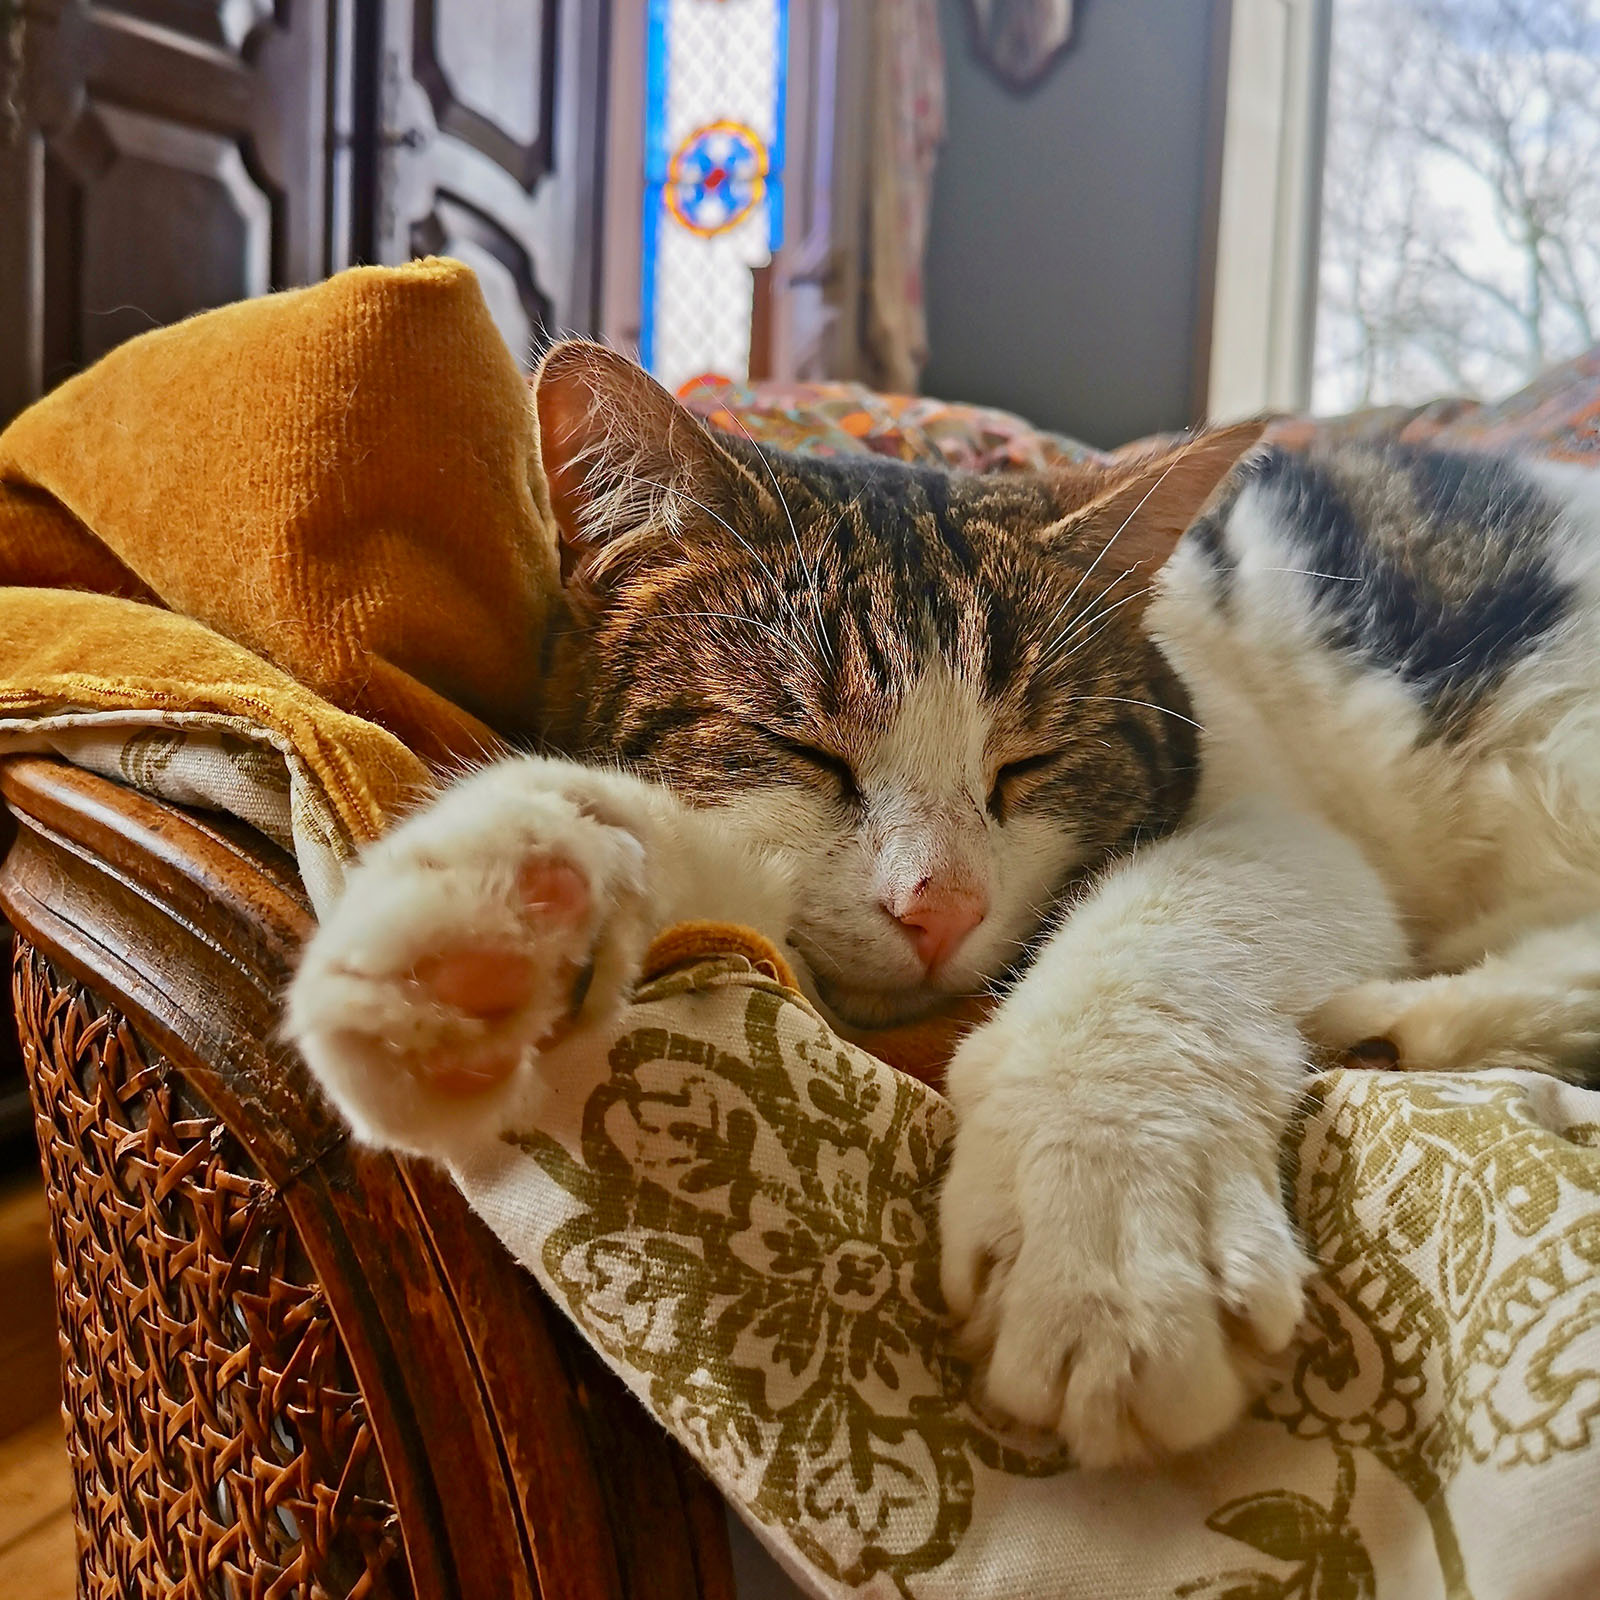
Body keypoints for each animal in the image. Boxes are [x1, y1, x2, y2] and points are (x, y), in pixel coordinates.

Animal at [288, 344, 1600, 1465]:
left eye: (1028, 763)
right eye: (802, 748)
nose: (941, 906)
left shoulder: (1285, 828)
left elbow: (1168, 922)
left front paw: (1107, 1221)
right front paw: (503, 907)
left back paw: (1416, 1019)